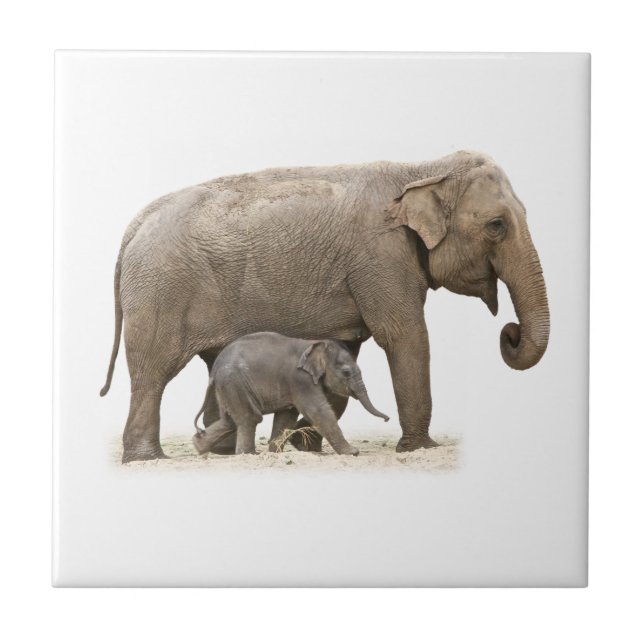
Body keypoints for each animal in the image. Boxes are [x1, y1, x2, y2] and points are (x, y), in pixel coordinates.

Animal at [191, 332, 389, 456]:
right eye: (347, 373)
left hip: (228, 386)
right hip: (234, 382)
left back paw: (199, 447)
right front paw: (353, 453)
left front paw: (274, 453)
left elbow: (286, 416)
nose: (387, 419)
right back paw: (248, 455)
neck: (314, 344)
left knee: (230, 420)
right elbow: (318, 411)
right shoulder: (300, 380)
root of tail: (214, 371)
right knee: (249, 418)